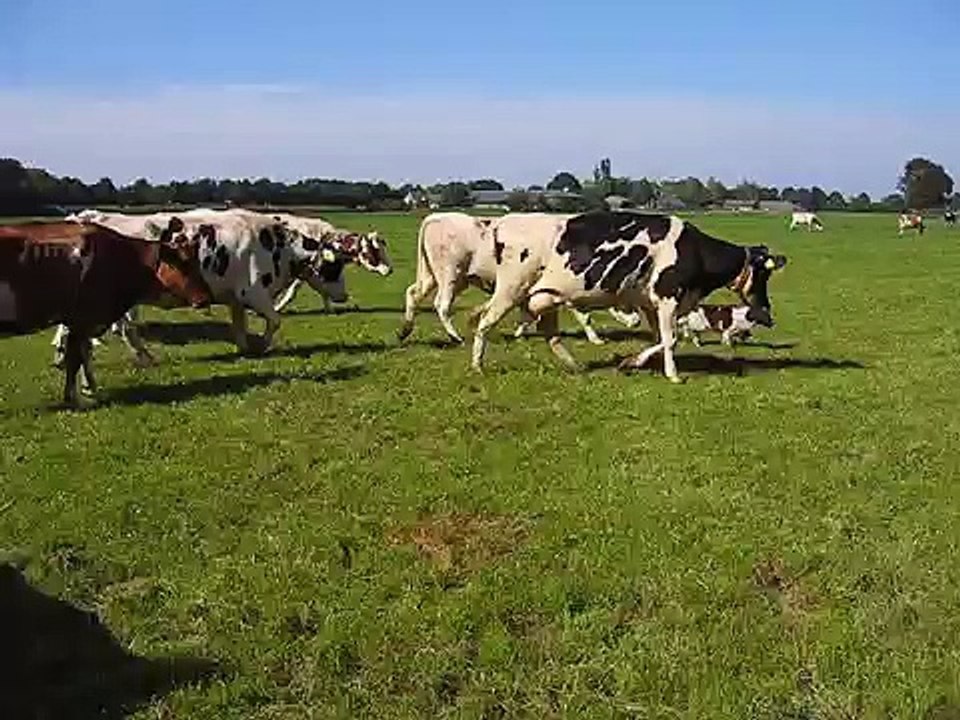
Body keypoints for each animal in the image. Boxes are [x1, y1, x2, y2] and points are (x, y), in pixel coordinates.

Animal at [0, 222, 211, 405]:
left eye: (197, 263)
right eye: (182, 264)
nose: (205, 298)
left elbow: (84, 356)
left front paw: (89, 388)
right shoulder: (81, 320)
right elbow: (74, 360)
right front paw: (73, 398)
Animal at [399, 212, 642, 346]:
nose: (637, 321)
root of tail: (436, 217)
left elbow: (527, 313)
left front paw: (520, 333)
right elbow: (584, 317)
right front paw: (596, 339)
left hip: (437, 276)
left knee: (413, 293)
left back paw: (405, 330)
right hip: (450, 274)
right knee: (441, 305)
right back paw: (455, 337)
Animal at [469, 210, 787, 383]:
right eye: (765, 273)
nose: (766, 307)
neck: (693, 250)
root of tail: (502, 223)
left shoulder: (651, 303)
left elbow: (661, 340)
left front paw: (632, 362)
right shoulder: (668, 298)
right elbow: (671, 339)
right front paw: (673, 375)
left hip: (546, 297)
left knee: (552, 336)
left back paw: (576, 366)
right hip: (512, 289)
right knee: (485, 322)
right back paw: (477, 366)